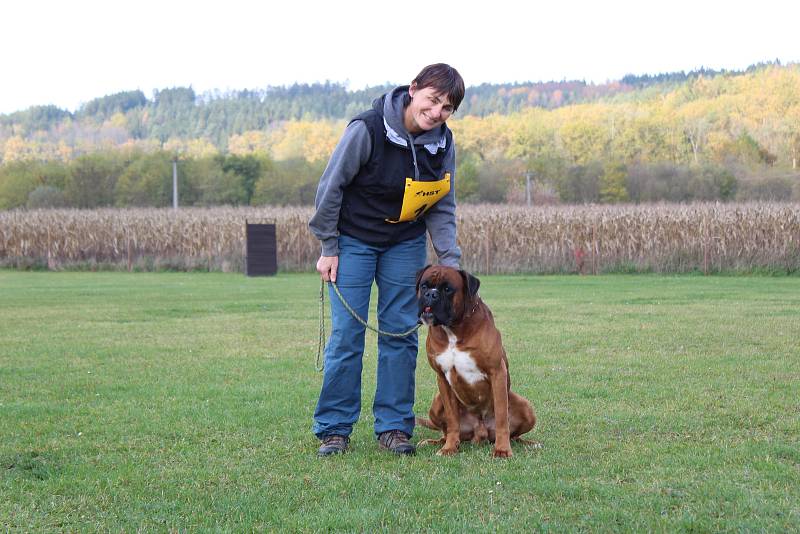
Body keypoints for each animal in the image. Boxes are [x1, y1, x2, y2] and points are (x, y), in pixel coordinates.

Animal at [416, 266, 536, 458]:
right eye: (424, 286)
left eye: (448, 289)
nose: (431, 294)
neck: (454, 329)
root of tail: (480, 432)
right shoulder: (442, 378)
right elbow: (452, 421)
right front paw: (449, 448)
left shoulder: (497, 372)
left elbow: (502, 418)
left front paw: (502, 450)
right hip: (436, 404)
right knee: (445, 431)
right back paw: (436, 442)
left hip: (526, 406)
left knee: (515, 435)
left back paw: (527, 443)